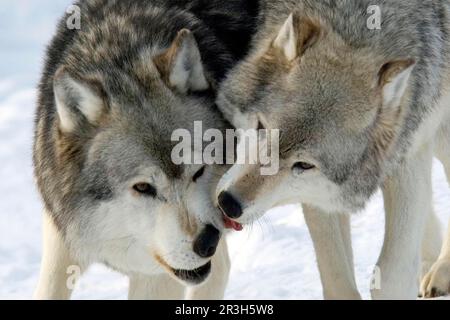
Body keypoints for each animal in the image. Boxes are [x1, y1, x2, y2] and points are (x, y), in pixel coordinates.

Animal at [33, 0, 258, 300]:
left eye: (198, 172)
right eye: (142, 188)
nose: (207, 241)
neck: (119, 51)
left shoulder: (158, 277)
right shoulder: (60, 241)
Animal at [214, 0, 450, 300]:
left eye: (304, 165)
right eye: (261, 127)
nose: (228, 203)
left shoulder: (410, 152)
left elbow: (391, 274)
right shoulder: (321, 196)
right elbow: (337, 280)